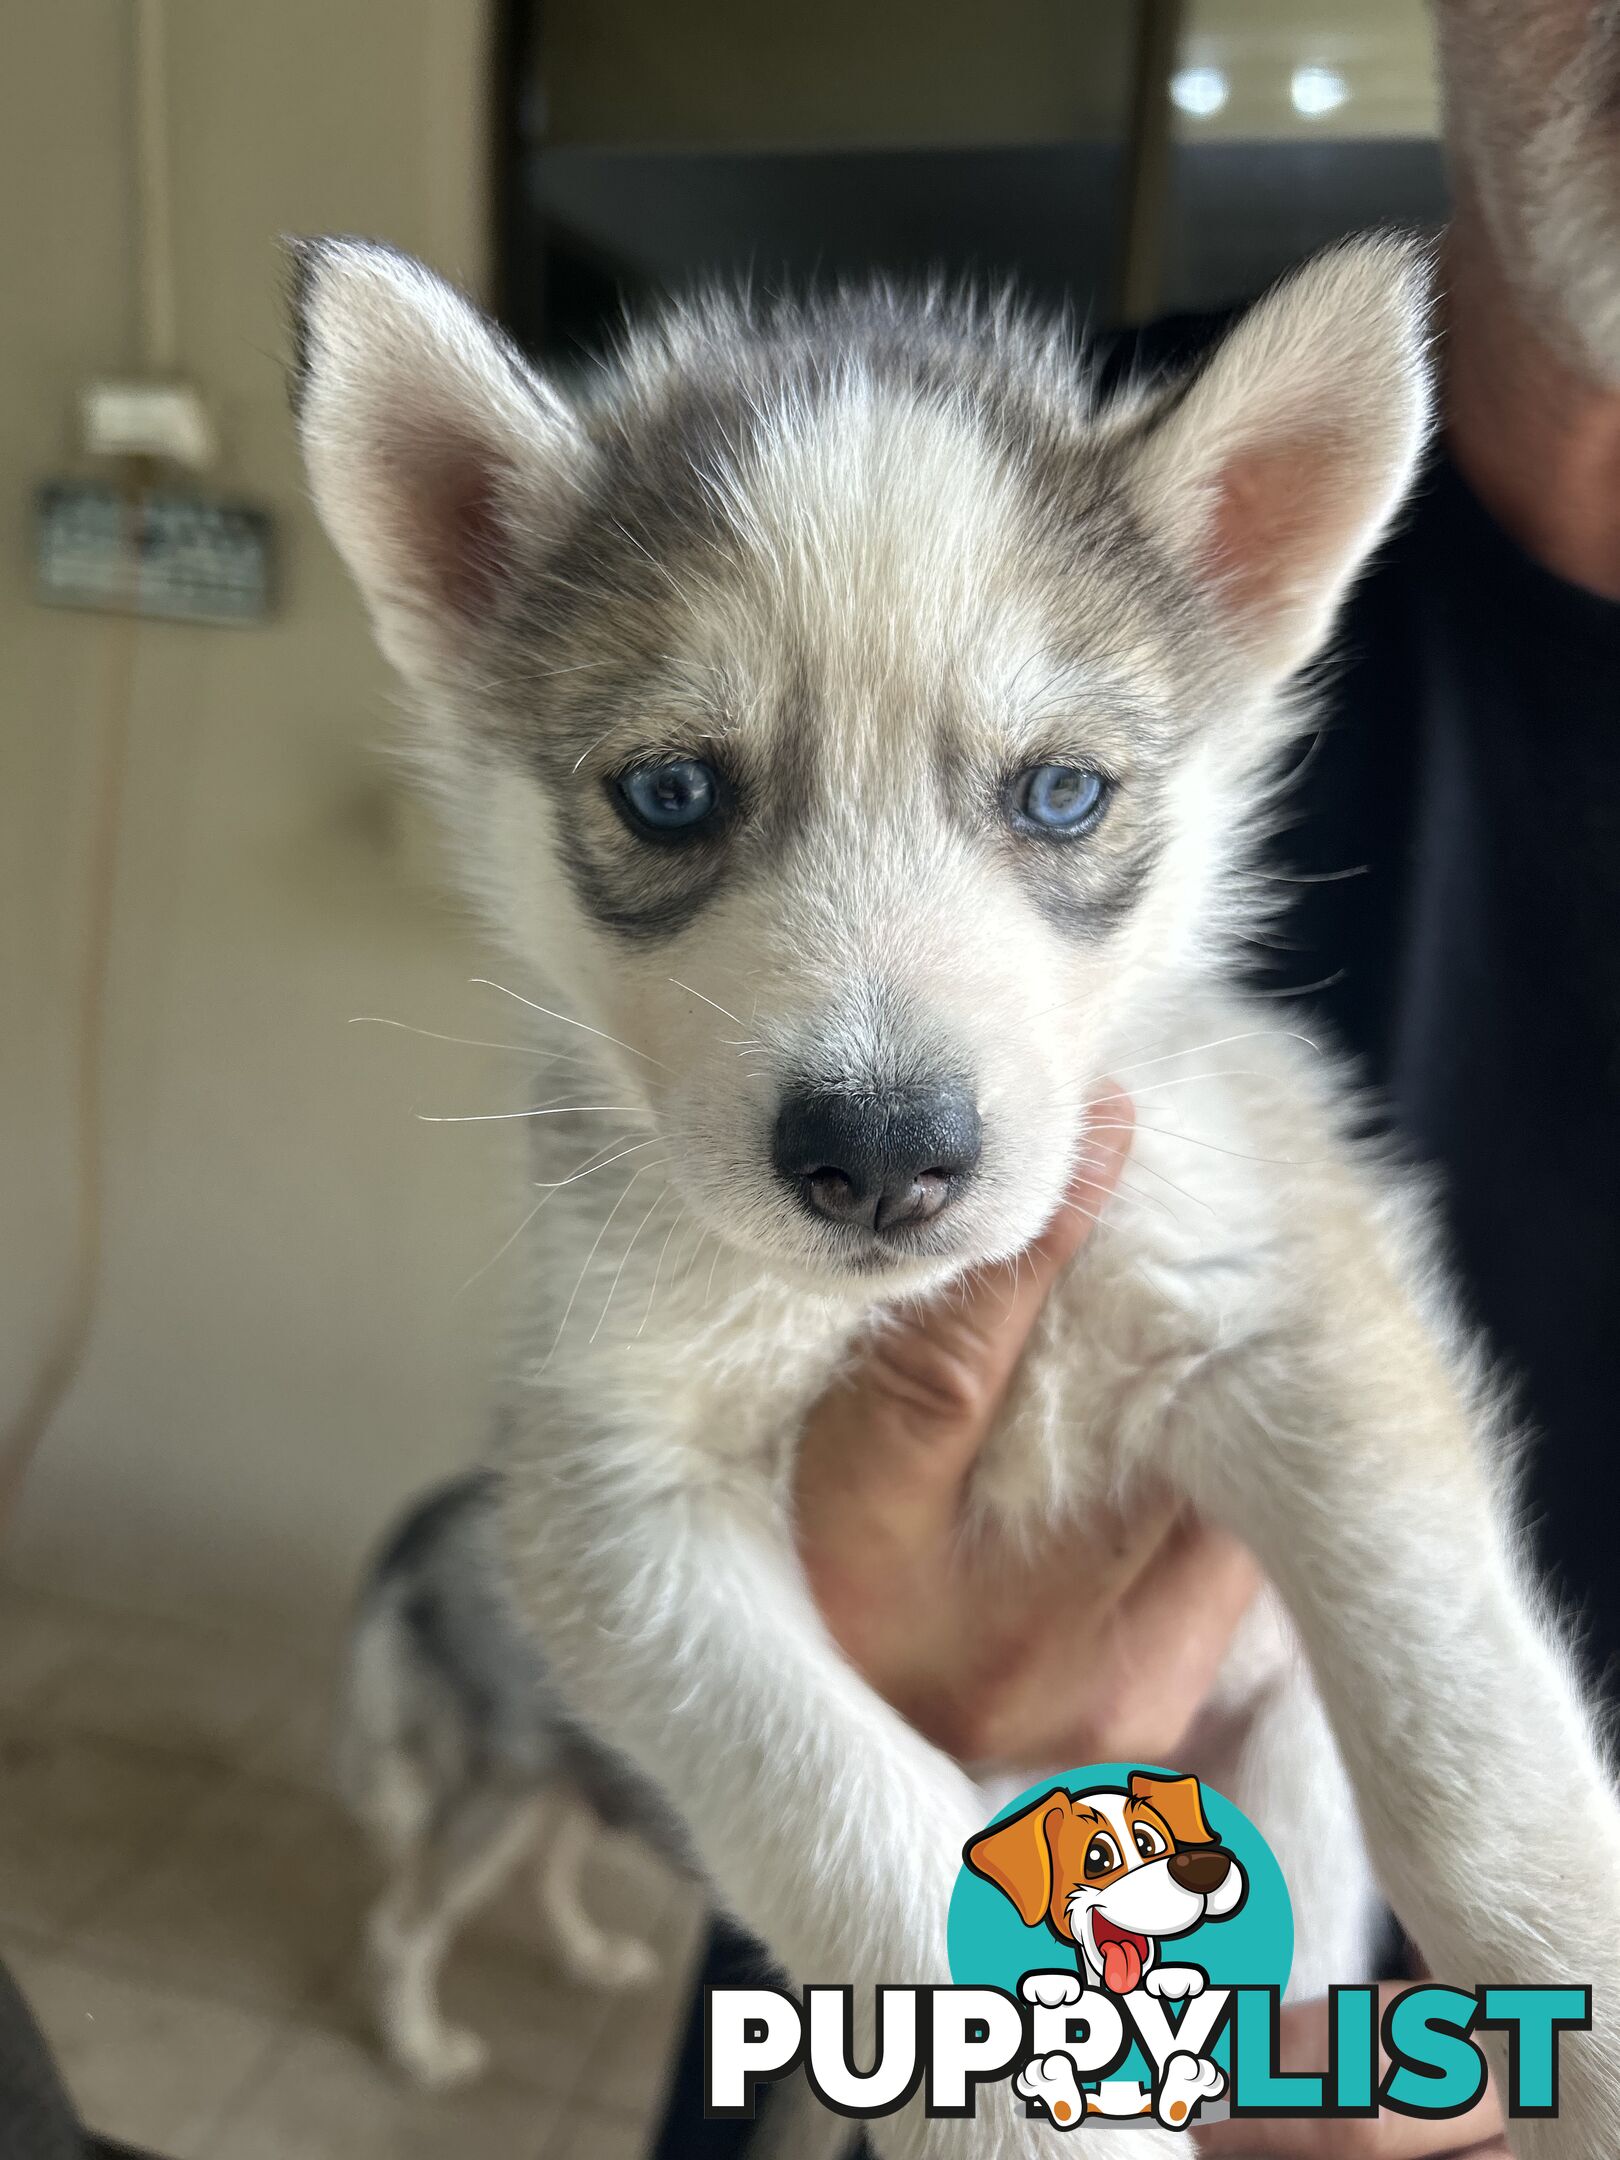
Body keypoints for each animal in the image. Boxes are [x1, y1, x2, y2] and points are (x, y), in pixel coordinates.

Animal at [339, 1468, 682, 2090]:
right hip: (499, 1795)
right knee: (399, 1935)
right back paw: (420, 2050)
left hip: (574, 1770)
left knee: (544, 1873)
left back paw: (588, 1955)